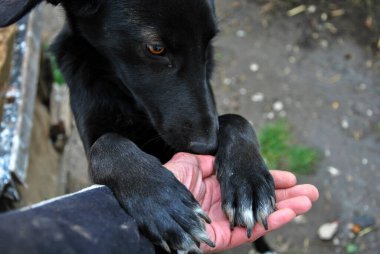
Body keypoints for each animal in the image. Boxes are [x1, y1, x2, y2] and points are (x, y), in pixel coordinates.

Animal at [1, 0, 276, 252]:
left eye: (208, 42)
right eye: (156, 48)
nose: (208, 146)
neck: (130, 103)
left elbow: (236, 120)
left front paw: (245, 177)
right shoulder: (93, 133)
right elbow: (105, 144)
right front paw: (162, 201)